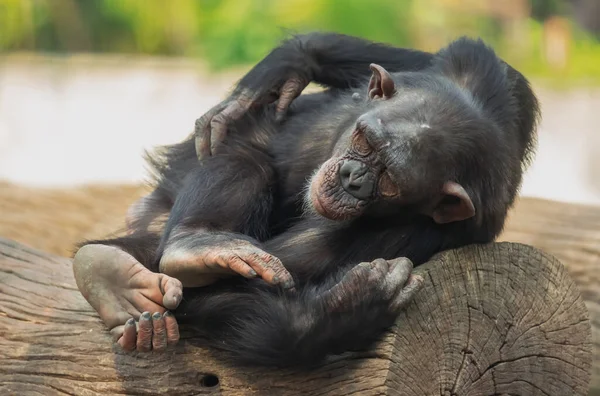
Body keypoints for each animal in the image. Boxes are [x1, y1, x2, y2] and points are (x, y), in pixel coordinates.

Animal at [72, 31, 540, 368]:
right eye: (366, 141)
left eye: (391, 179)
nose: (353, 178)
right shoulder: (477, 65)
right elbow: (416, 61)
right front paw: (286, 66)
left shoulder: (424, 231)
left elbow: (240, 286)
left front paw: (344, 312)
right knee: (244, 158)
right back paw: (162, 255)